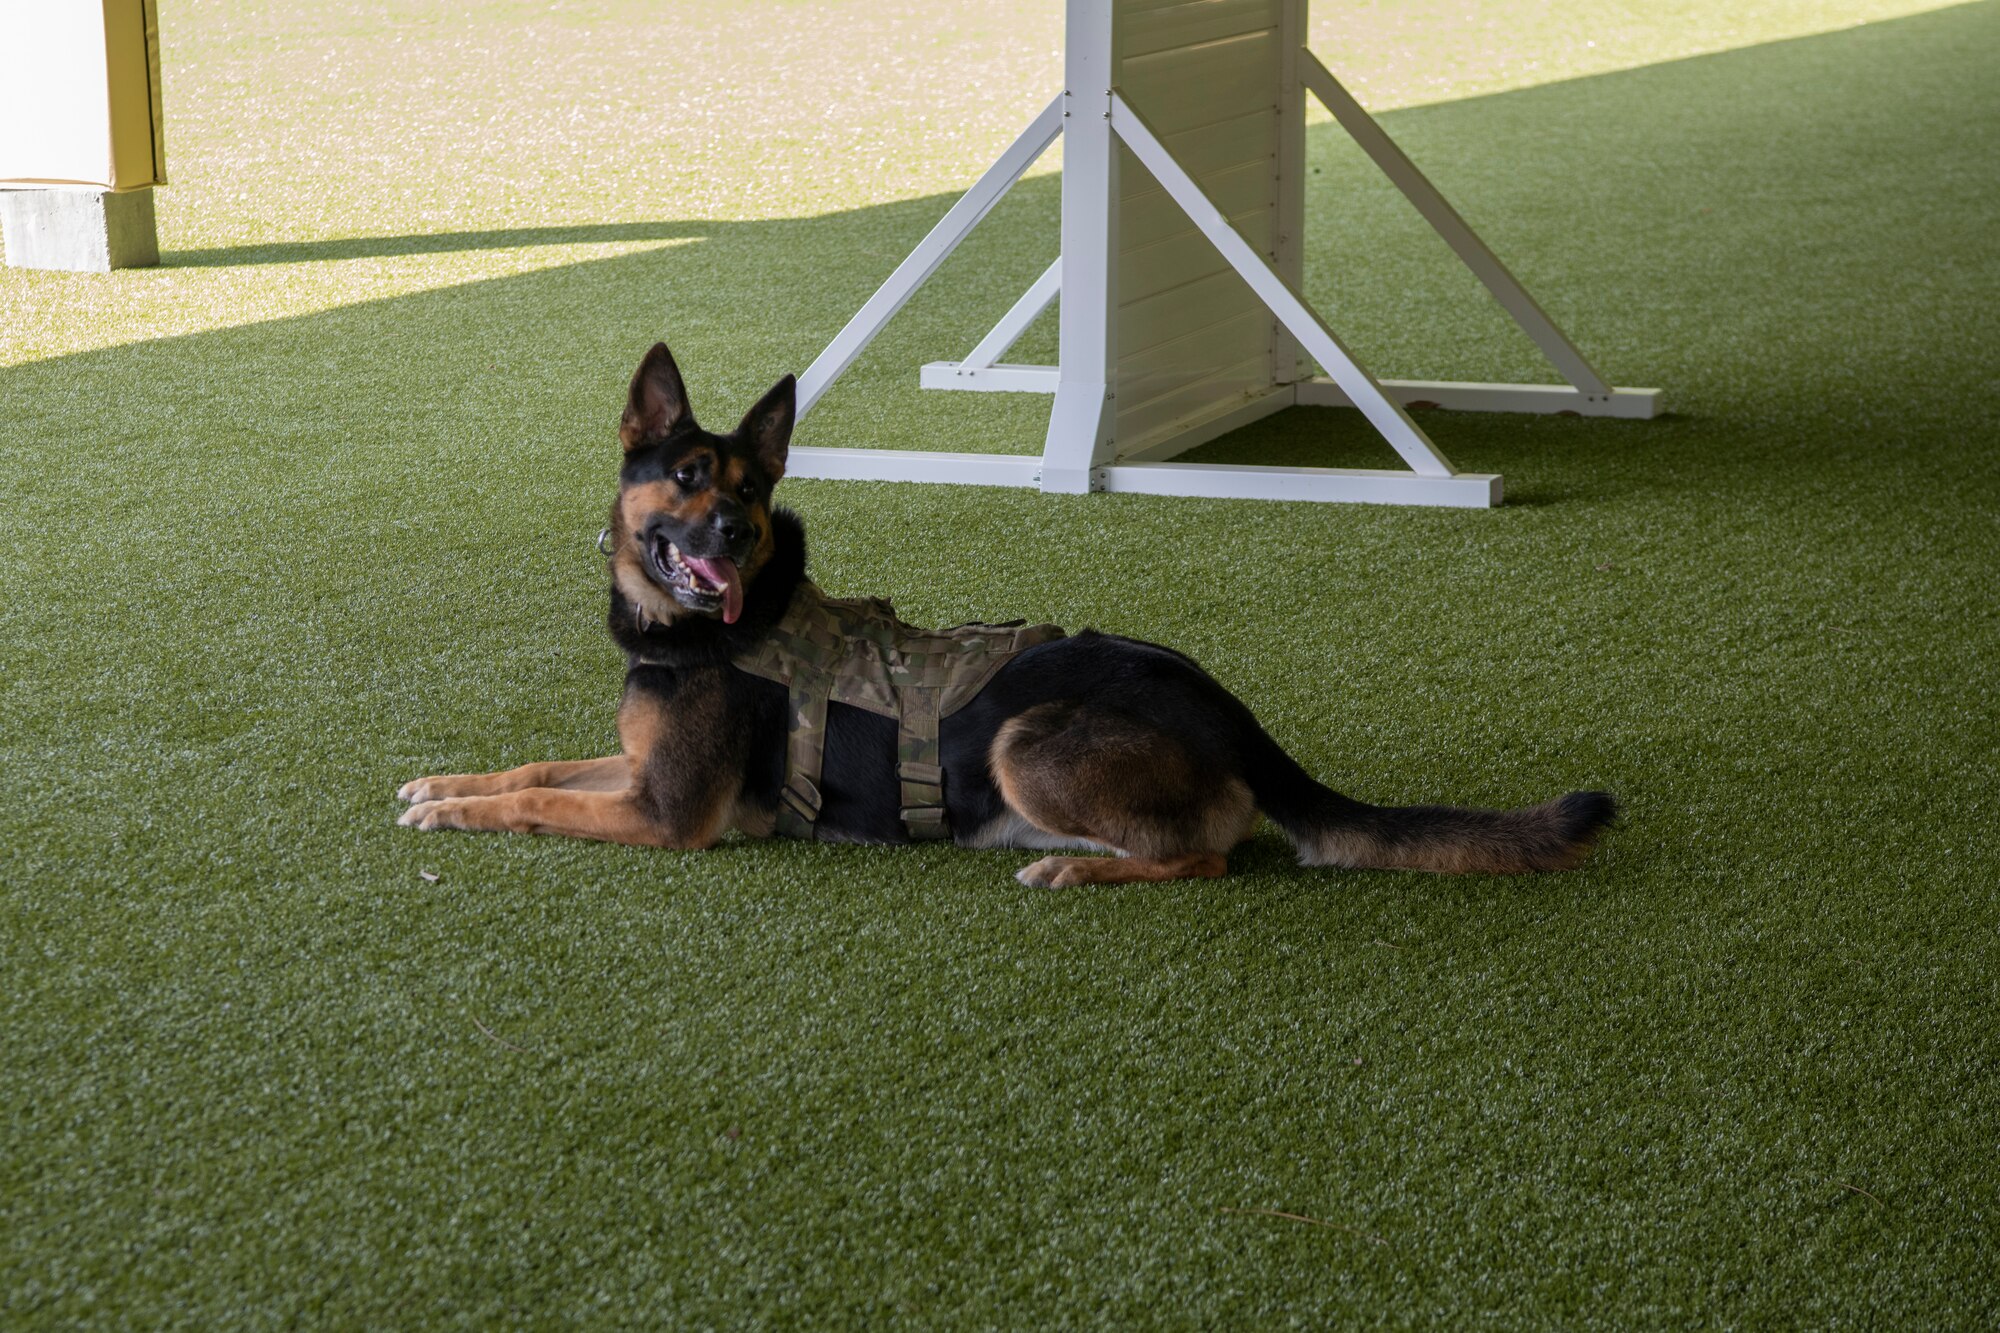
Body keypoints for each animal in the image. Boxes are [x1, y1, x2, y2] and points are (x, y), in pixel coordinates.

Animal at [398, 342, 1616, 880]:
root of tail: (1230, 710)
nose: (733, 536)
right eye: (689, 478)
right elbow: (533, 767)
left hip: (1029, 742)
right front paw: (443, 785)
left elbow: (534, 804)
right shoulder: (635, 768)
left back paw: (1081, 870)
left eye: (751, 490)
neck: (708, 632)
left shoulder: (666, 814)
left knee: (1205, 857)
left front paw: (457, 818)